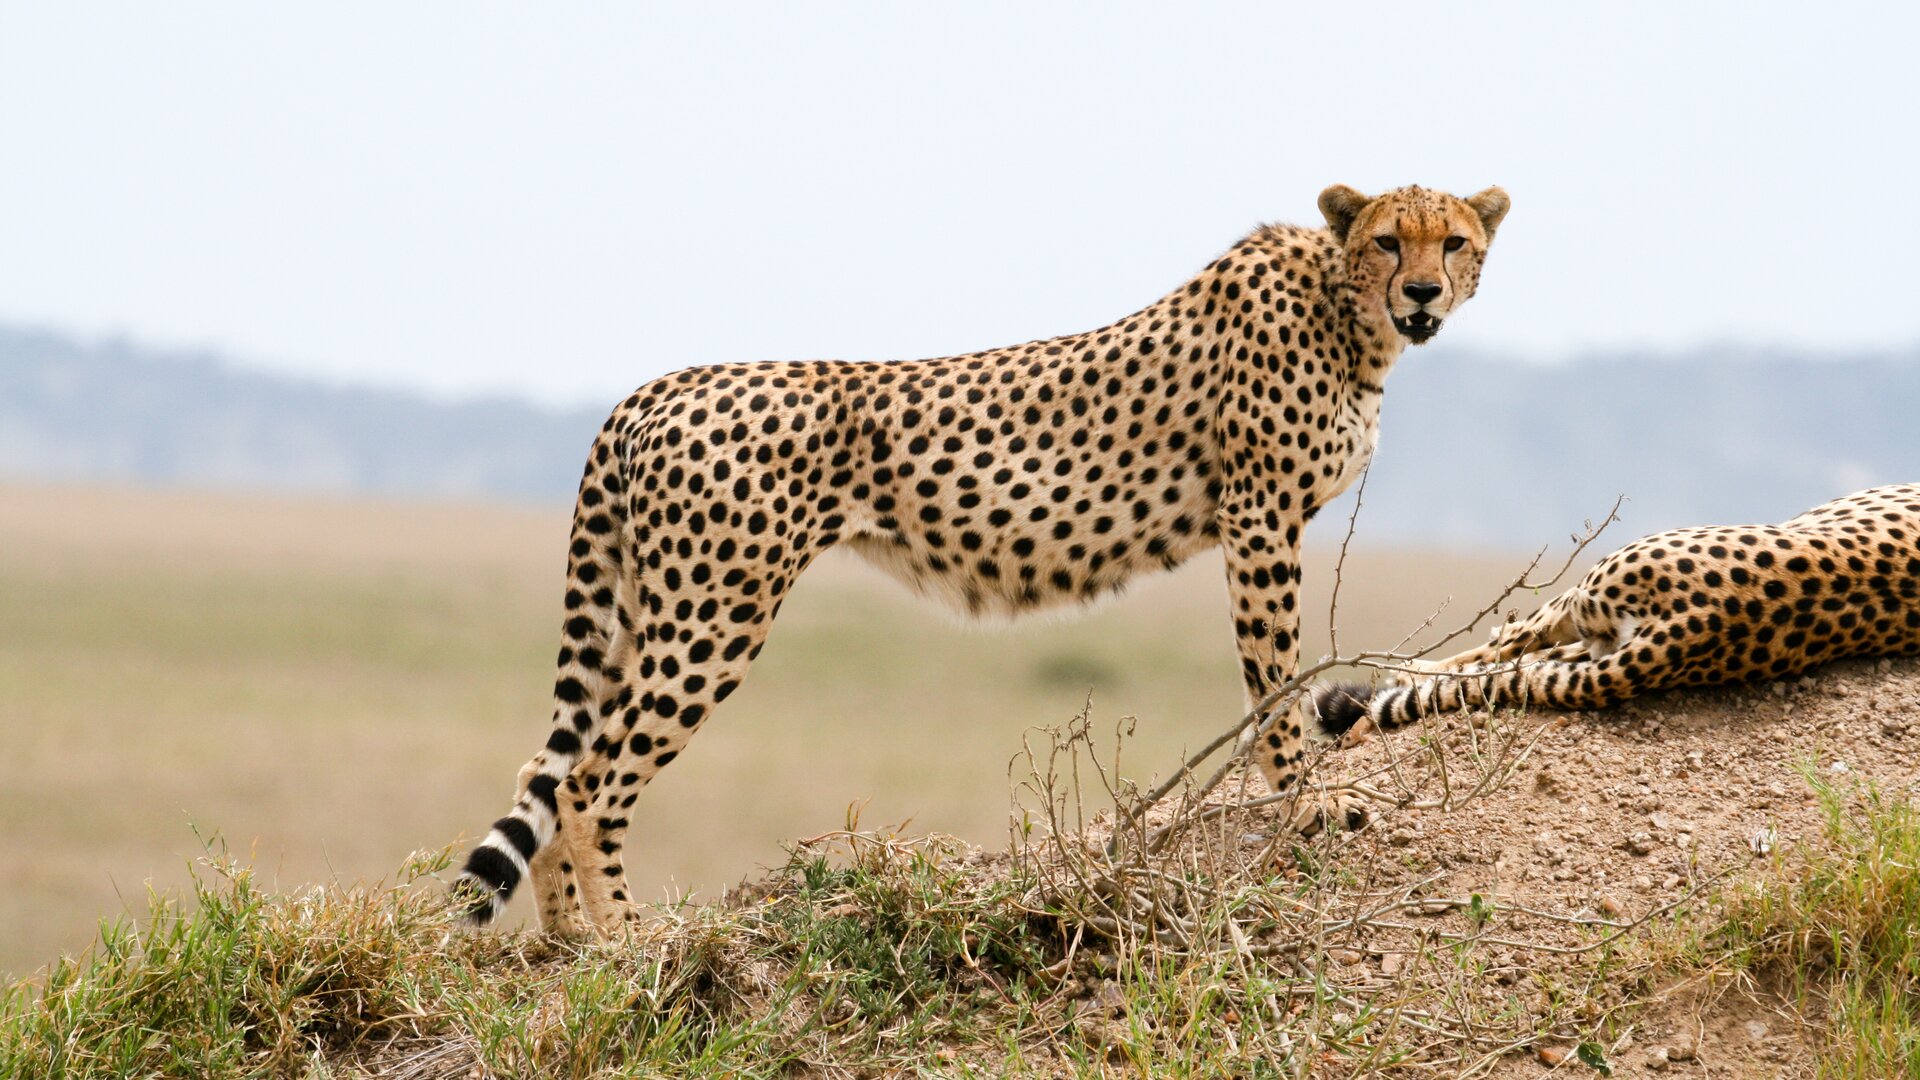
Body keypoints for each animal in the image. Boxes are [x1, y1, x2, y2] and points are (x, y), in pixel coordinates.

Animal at [453, 180, 1512, 930]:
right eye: (1389, 239)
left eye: (1453, 240)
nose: (1424, 290)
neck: (1348, 312)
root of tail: (655, 386)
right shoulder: (1259, 519)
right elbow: (1277, 675)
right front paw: (1305, 800)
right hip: (714, 615)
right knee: (588, 784)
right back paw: (627, 946)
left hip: (650, 607)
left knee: (543, 768)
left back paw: (566, 947)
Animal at [1313, 484, 1920, 734]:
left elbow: (1501, 644)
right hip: (1600, 636)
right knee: (1523, 660)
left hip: (1585, 596)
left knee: (1504, 646)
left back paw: (1402, 672)